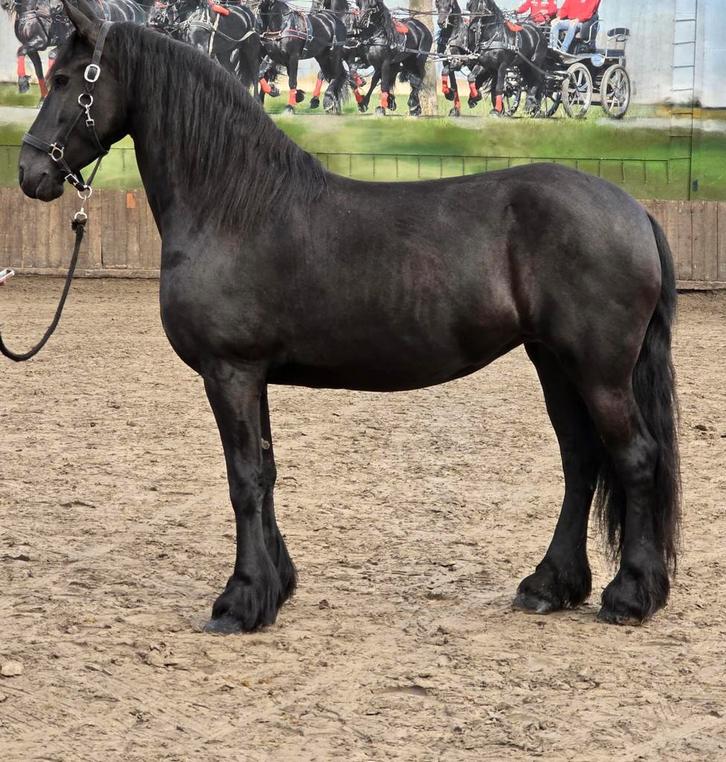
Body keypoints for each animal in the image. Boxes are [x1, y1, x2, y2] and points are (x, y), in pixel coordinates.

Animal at [19, 0, 681, 633]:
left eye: (65, 78)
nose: (31, 174)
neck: (233, 205)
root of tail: (634, 211)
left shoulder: (229, 371)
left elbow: (243, 478)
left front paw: (240, 601)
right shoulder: (251, 375)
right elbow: (266, 470)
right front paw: (276, 586)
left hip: (598, 371)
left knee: (634, 459)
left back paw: (630, 596)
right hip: (555, 364)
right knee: (582, 461)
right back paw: (550, 586)